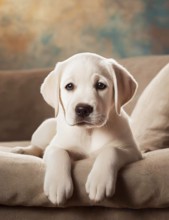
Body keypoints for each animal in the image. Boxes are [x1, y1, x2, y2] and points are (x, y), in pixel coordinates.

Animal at [12, 52, 141, 205]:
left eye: (100, 85)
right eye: (69, 86)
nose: (83, 109)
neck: (89, 132)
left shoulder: (132, 151)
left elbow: (111, 151)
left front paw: (99, 181)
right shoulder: (54, 146)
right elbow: (59, 153)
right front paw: (57, 184)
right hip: (46, 127)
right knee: (37, 147)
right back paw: (20, 150)